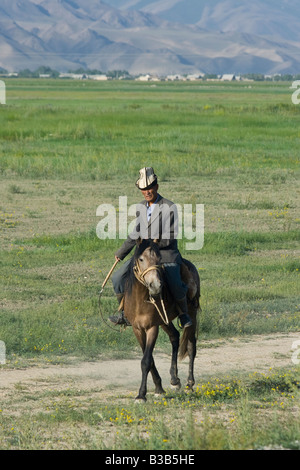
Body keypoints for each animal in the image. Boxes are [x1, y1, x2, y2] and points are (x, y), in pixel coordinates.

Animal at [123, 241, 200, 402]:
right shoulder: (137, 329)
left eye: (159, 259)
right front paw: (158, 387)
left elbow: (146, 360)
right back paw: (174, 379)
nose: (156, 286)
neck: (140, 300)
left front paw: (141, 395)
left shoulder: (152, 327)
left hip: (192, 313)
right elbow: (149, 358)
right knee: (175, 336)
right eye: (141, 259)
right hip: (165, 321)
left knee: (191, 346)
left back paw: (189, 384)